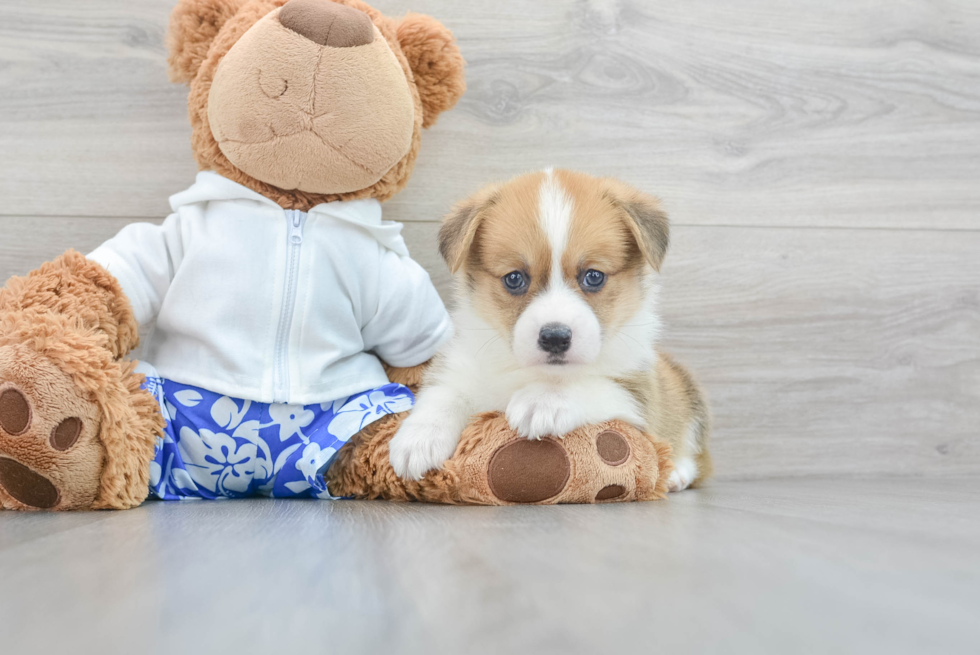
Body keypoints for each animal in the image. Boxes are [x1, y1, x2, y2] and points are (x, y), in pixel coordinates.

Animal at [388, 169, 712, 492]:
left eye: (594, 276)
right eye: (514, 278)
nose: (555, 338)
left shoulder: (639, 394)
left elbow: (592, 383)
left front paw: (543, 401)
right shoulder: (461, 365)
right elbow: (444, 394)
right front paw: (418, 439)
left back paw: (676, 474)